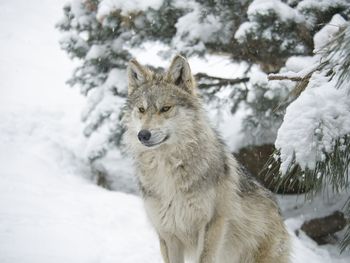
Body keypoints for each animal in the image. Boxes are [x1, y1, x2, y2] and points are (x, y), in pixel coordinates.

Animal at [122, 54, 290, 262]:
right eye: (141, 109)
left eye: (166, 108)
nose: (143, 135)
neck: (167, 170)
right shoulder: (168, 234)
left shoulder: (212, 224)